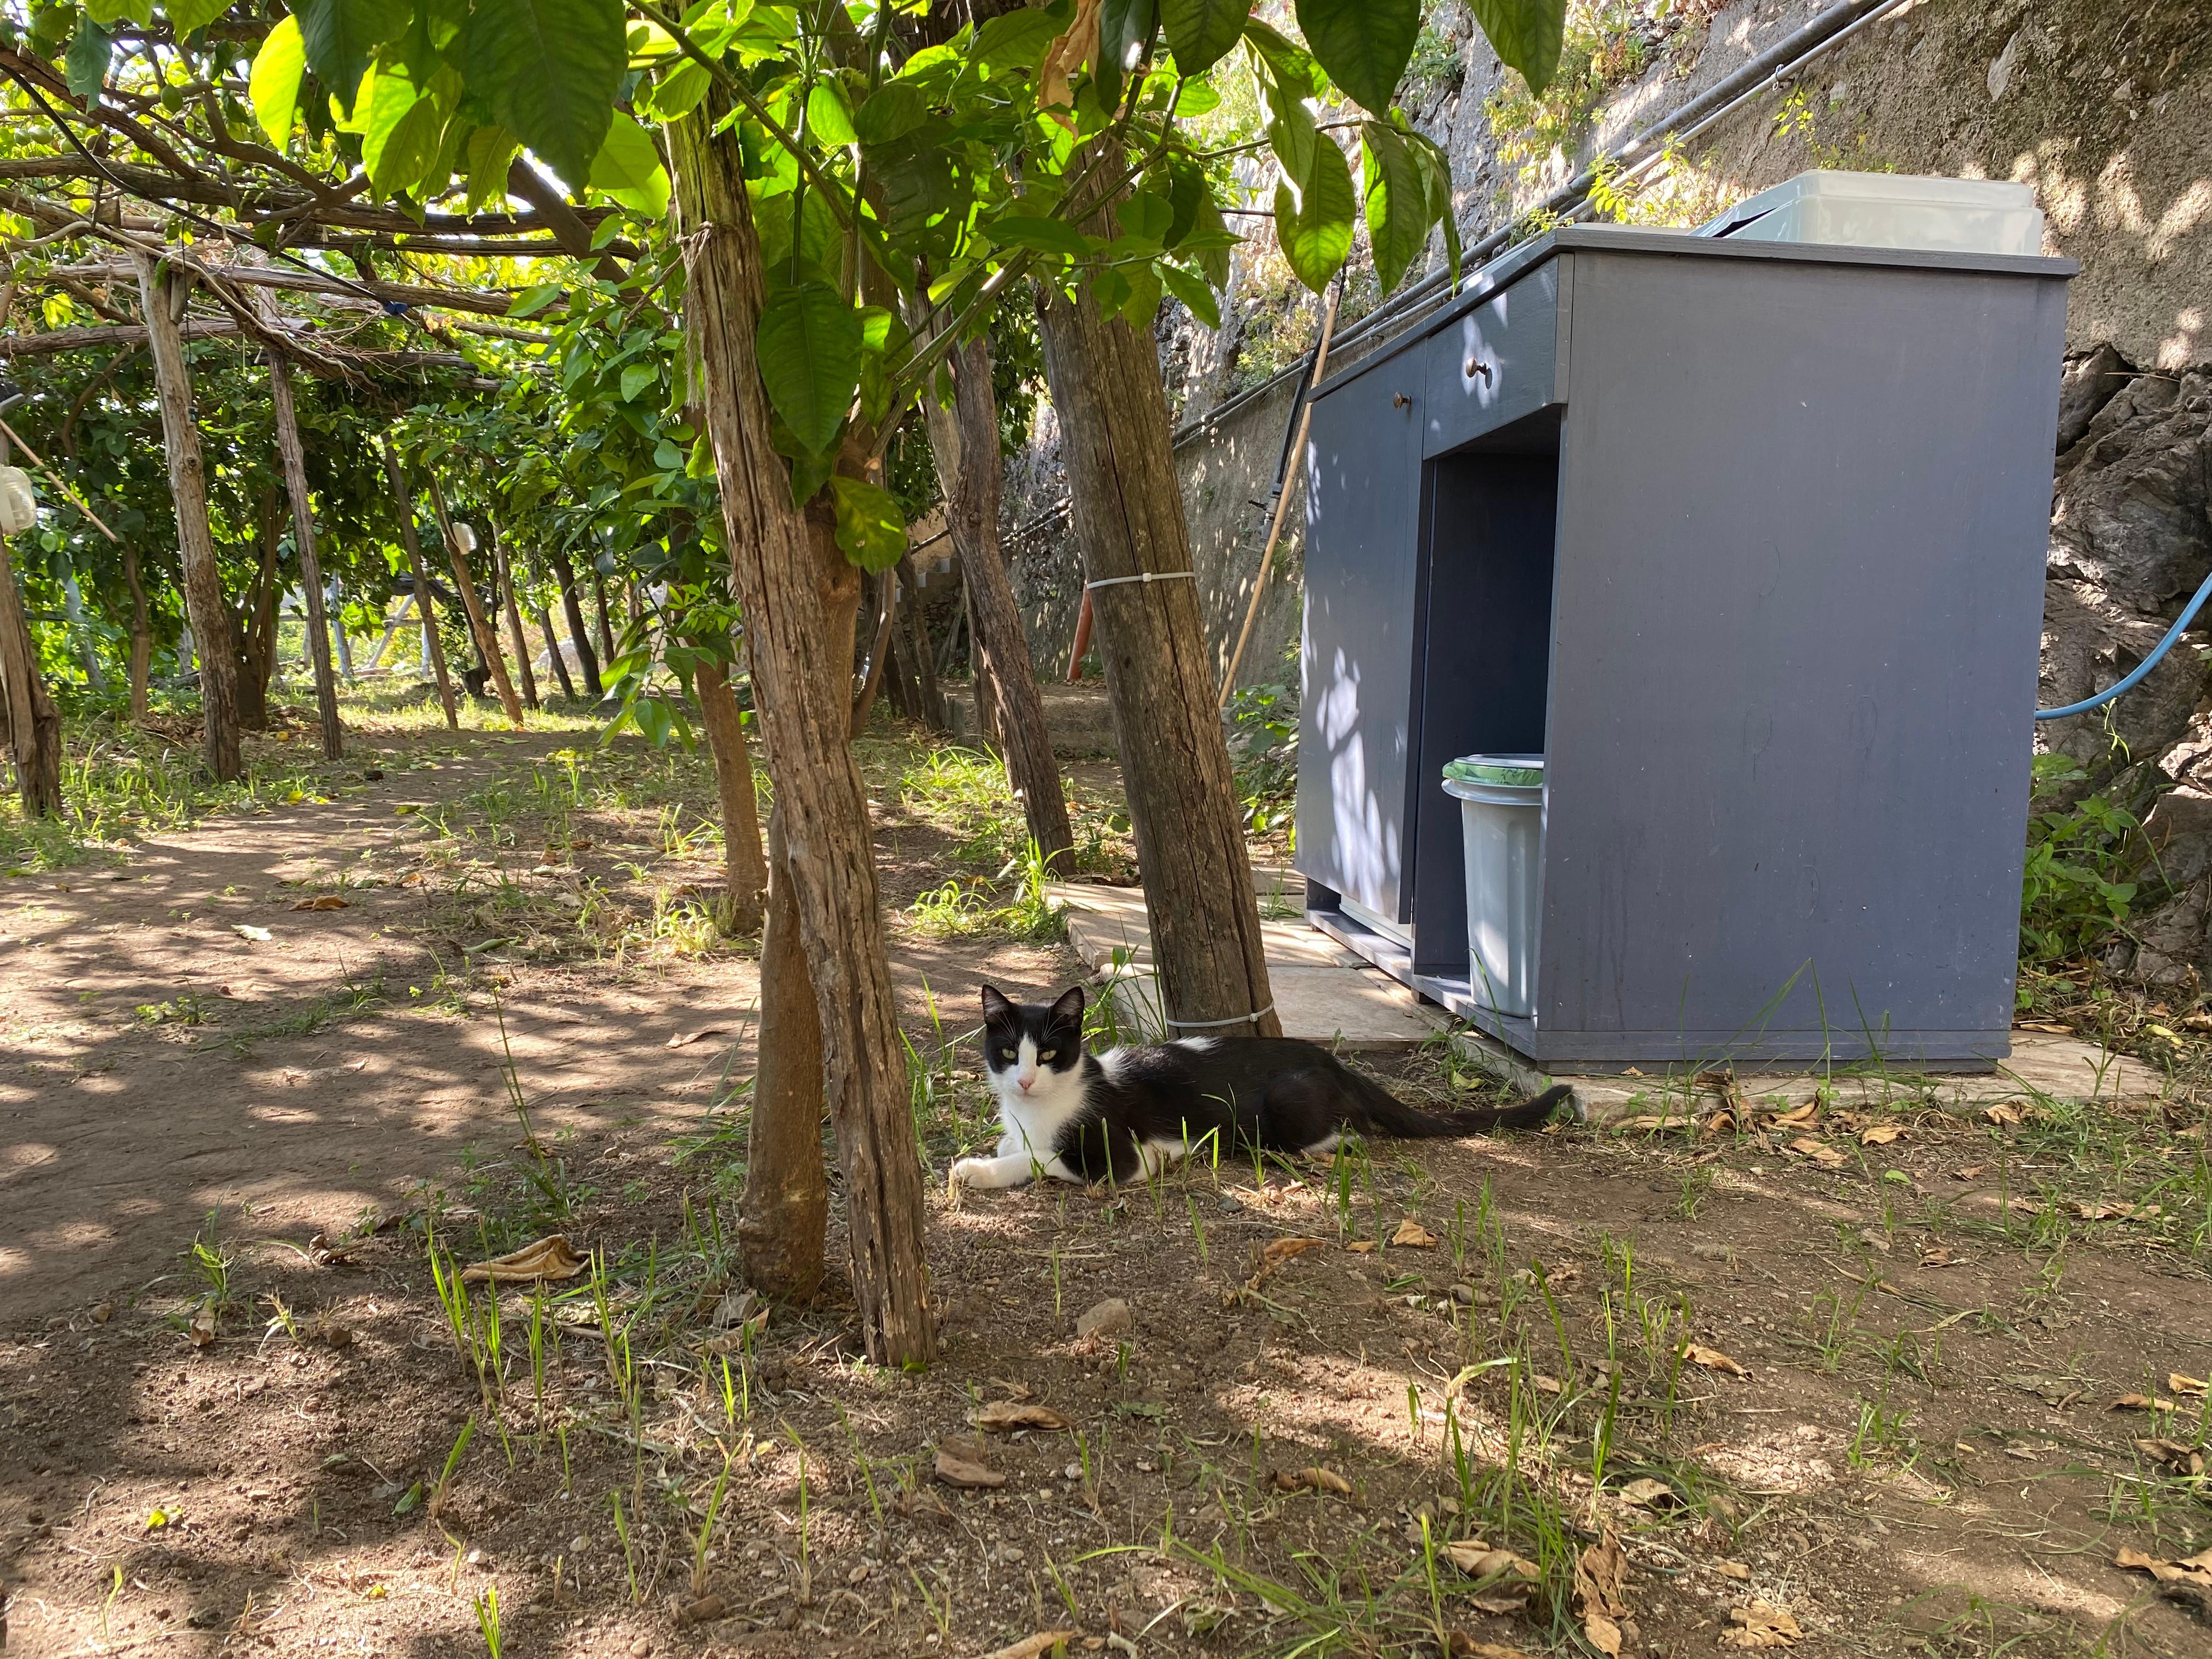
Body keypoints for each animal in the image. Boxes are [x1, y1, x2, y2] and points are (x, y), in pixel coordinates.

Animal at [951, 982, 1575, 1186]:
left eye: (1049, 1054)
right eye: (1007, 1053)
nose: (1024, 1080)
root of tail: (1338, 1065)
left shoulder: (1122, 1157)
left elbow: (1039, 1160)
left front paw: (975, 1170)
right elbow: (1013, 1144)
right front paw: (995, 1149)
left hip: (1287, 1100)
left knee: (1348, 1132)